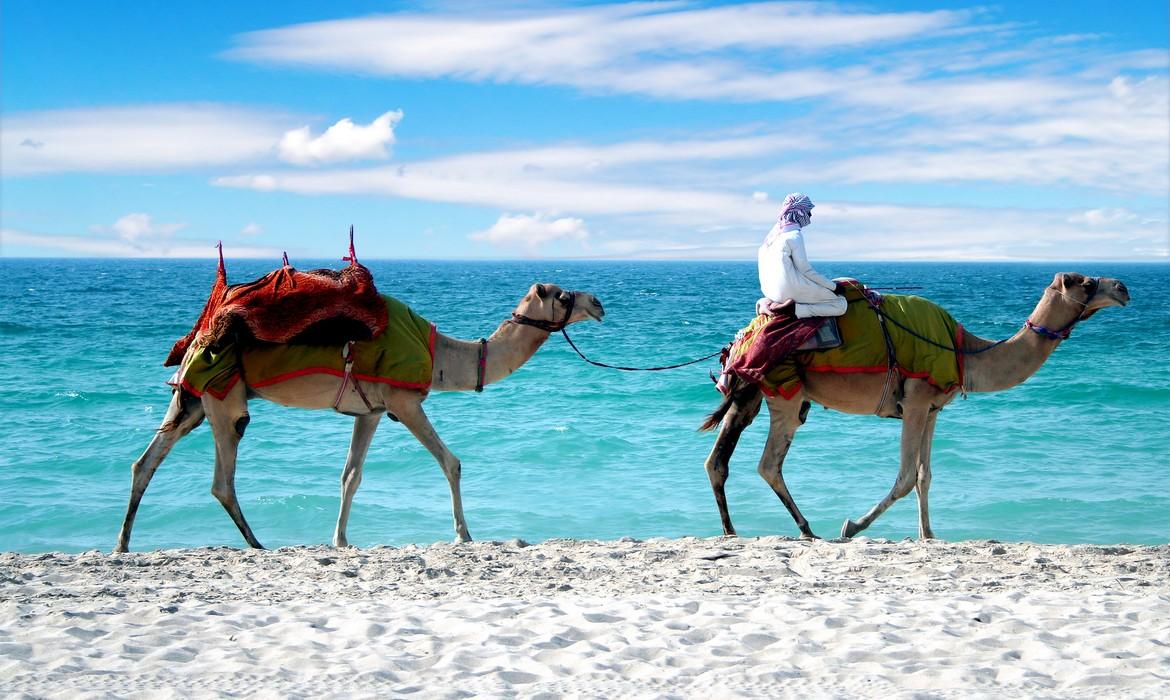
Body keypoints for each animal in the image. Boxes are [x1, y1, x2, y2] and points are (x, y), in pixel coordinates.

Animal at [114, 257, 603, 554]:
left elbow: (351, 475)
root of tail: (203, 331)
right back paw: (256, 543)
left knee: (146, 461)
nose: (598, 302)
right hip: (224, 398)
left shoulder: (371, 411)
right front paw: (464, 534)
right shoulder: (405, 402)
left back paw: (122, 544)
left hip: (194, 399)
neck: (442, 357)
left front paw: (341, 540)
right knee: (222, 477)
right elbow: (452, 462)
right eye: (562, 295)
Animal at [697, 273, 1127, 543]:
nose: (1123, 287)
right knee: (768, 463)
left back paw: (731, 531)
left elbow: (925, 476)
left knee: (718, 460)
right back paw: (806, 529)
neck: (964, 352)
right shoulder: (916, 400)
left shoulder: (933, 409)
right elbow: (905, 477)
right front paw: (851, 526)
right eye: (1087, 282)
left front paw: (928, 535)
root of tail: (740, 339)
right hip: (786, 393)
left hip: (752, 394)